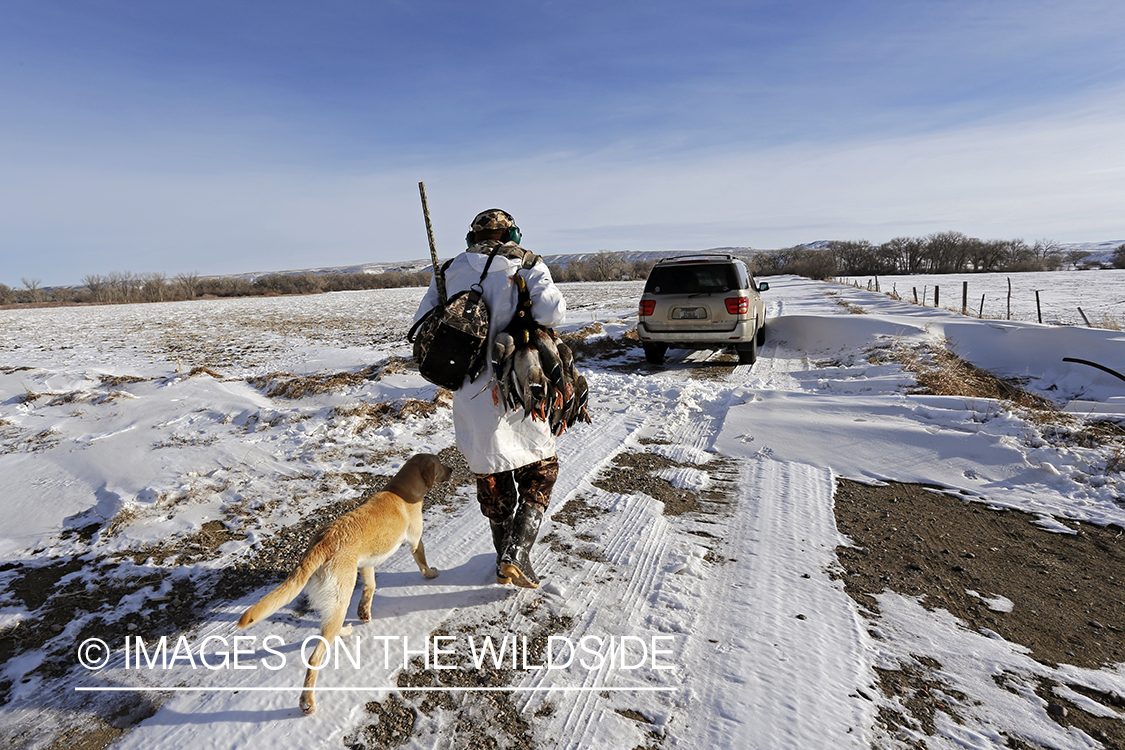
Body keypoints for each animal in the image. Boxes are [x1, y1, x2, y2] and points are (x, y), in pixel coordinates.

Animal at [238, 452, 452, 715]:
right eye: (440, 463)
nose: (452, 470)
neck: (401, 489)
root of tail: (322, 543)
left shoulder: (366, 563)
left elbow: (371, 587)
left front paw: (364, 612)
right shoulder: (416, 542)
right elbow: (422, 563)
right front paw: (431, 573)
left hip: (337, 599)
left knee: (329, 627)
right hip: (341, 597)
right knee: (315, 657)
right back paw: (307, 702)